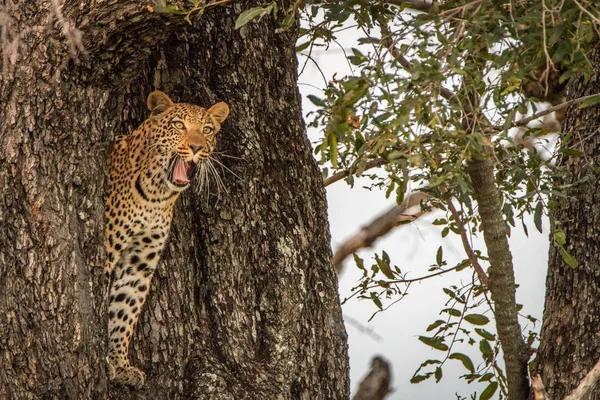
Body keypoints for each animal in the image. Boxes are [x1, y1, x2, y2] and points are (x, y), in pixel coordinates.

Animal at [103, 90, 230, 388]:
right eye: (178, 126)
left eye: (207, 130)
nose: (196, 147)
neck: (156, 195)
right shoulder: (109, 245)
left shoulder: (139, 262)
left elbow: (124, 310)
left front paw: (119, 364)